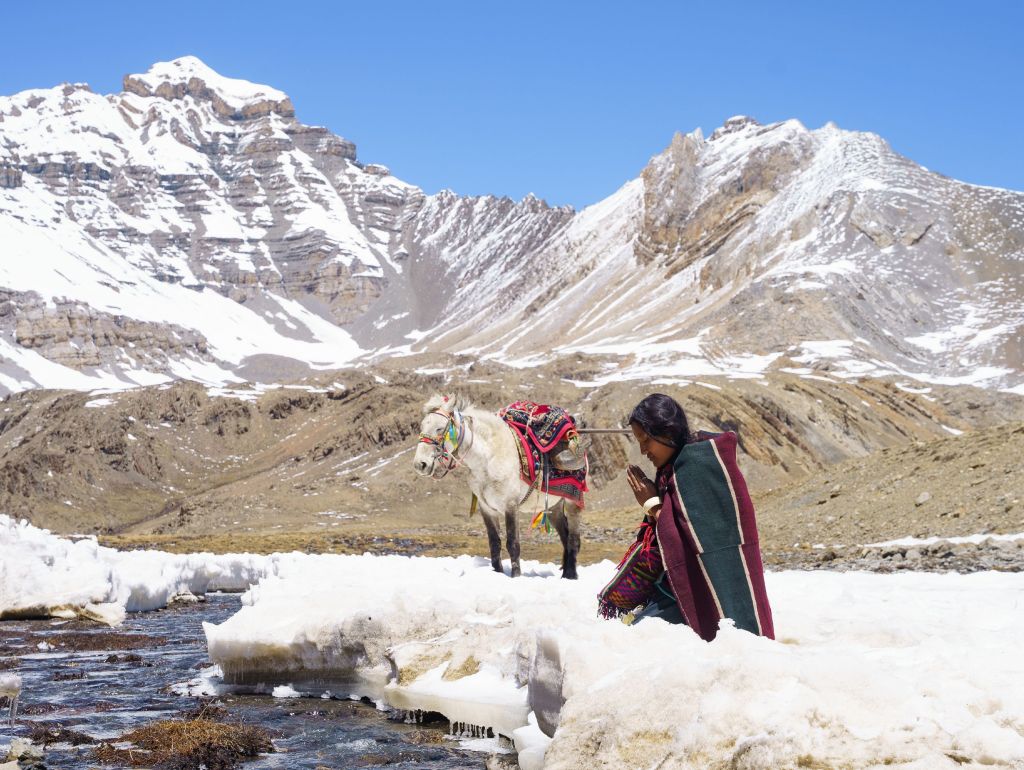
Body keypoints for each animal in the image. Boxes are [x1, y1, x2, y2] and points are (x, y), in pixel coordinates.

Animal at [411, 391, 581, 577]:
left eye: (440, 428)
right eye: (422, 426)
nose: (420, 464)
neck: (488, 458)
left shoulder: (510, 506)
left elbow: (513, 543)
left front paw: (516, 576)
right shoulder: (487, 509)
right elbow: (494, 543)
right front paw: (497, 572)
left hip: (573, 502)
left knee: (573, 538)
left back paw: (571, 575)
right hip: (553, 505)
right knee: (564, 535)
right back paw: (565, 574)